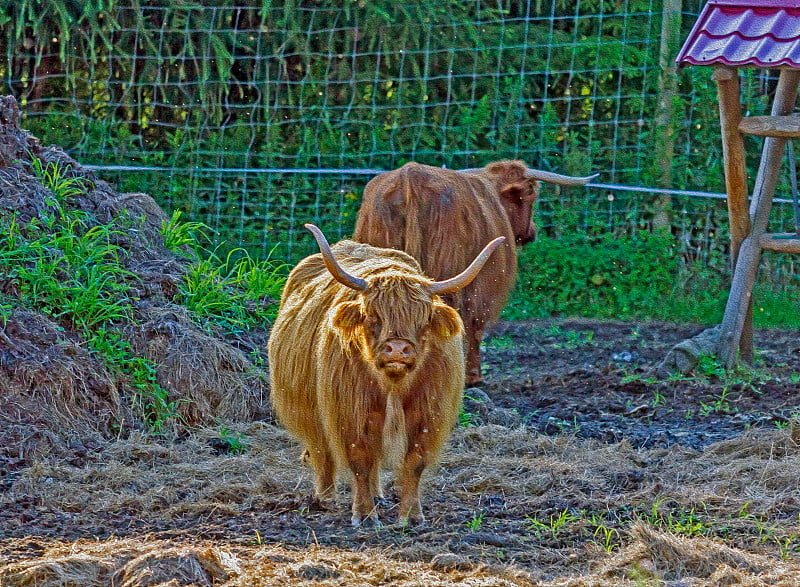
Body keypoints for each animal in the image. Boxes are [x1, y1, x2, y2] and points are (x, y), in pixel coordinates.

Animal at [270, 225, 506, 528]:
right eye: (373, 317)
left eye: (423, 320)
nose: (397, 349)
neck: (393, 384)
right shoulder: (349, 412)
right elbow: (358, 459)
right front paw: (364, 515)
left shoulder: (428, 414)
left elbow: (414, 461)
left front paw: (411, 516)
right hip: (309, 409)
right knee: (322, 452)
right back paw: (325, 498)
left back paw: (377, 494)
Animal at [354, 161, 596, 388]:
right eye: (531, 195)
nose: (531, 232)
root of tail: (410, 177)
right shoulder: (484, 285)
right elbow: (475, 326)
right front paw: (474, 377)